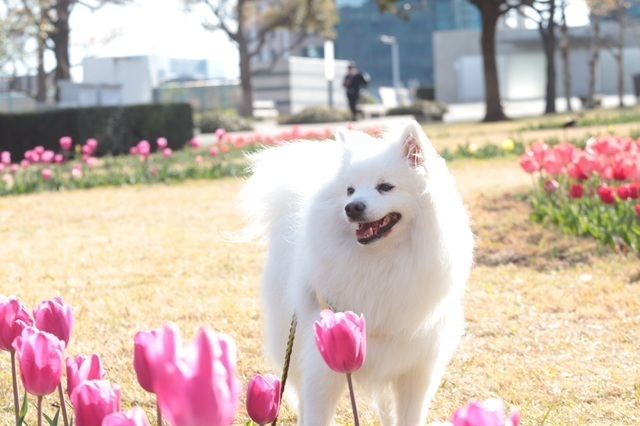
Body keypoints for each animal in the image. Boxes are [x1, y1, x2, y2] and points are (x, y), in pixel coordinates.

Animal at [240, 121, 476, 424]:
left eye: (385, 187)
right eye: (350, 190)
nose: (352, 207)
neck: (381, 260)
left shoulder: (416, 370)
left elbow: (409, 415)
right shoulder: (321, 367)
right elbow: (316, 412)